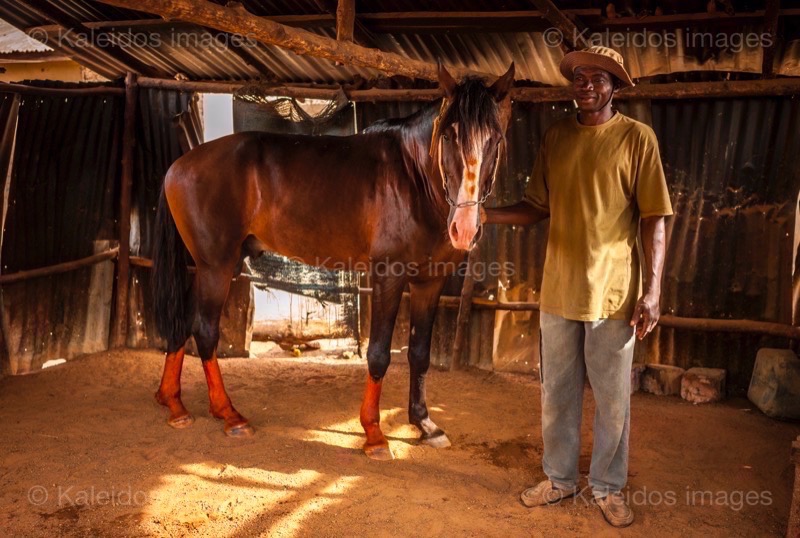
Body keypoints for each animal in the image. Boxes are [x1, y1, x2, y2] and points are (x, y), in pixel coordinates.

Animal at [152, 61, 512, 456]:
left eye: (495, 139)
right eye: (449, 136)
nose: (464, 228)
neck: (412, 178)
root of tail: (178, 165)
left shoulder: (430, 281)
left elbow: (419, 353)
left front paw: (425, 424)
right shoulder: (389, 276)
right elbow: (379, 353)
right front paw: (374, 433)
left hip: (207, 266)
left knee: (183, 323)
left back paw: (174, 403)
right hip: (216, 266)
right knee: (204, 331)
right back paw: (229, 414)